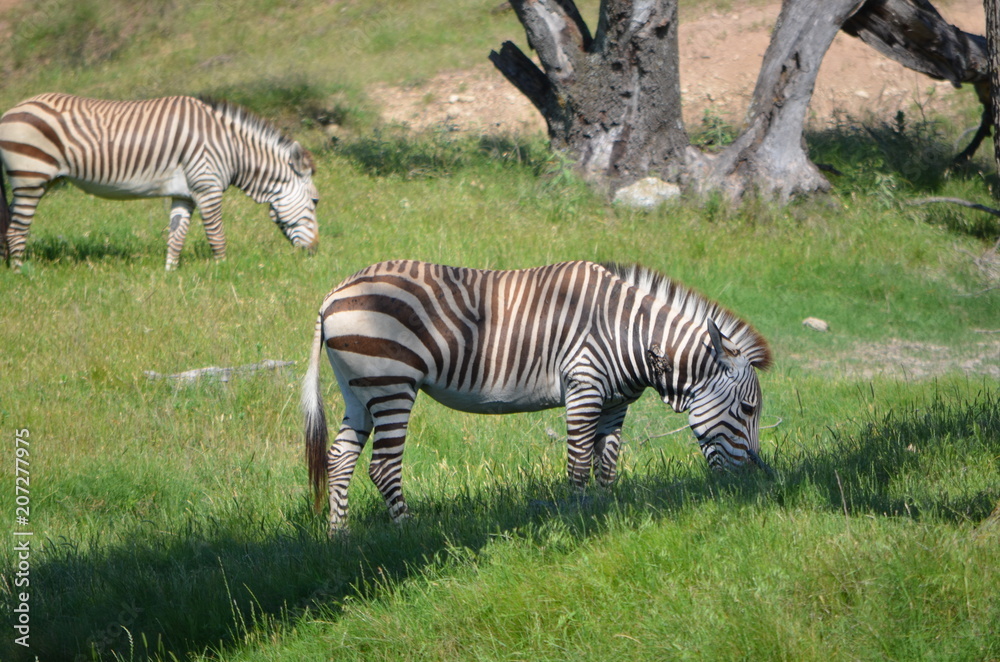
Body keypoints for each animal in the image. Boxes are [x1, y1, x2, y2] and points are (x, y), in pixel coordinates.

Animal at [0, 93, 319, 271]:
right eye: (316, 202)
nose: (316, 251)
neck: (233, 149)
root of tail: (12, 109)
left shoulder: (185, 194)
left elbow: (176, 237)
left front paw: (170, 275)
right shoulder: (208, 187)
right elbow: (217, 236)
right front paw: (224, 271)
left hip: (34, 183)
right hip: (31, 179)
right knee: (16, 232)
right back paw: (21, 274)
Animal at [302, 259, 772, 532]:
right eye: (748, 408)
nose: (751, 486)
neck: (629, 334)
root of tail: (331, 296)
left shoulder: (615, 403)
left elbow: (607, 464)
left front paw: (604, 513)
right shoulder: (584, 386)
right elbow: (579, 462)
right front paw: (581, 521)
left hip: (358, 391)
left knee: (339, 459)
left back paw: (340, 536)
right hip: (391, 383)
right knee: (382, 467)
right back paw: (408, 533)